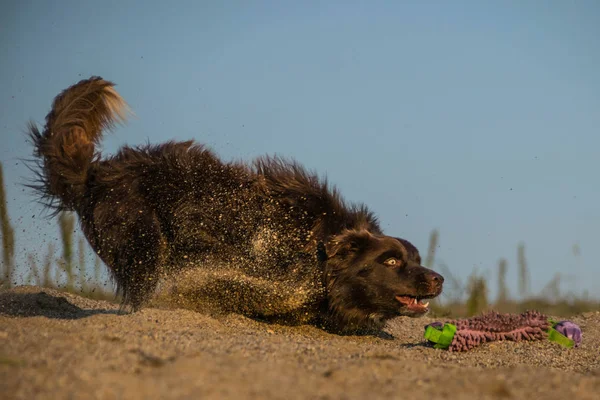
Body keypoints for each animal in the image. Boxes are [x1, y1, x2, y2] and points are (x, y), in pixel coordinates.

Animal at [28, 76, 442, 332]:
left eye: (417, 259)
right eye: (391, 262)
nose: (437, 279)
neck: (318, 243)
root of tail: (96, 174)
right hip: (144, 239)